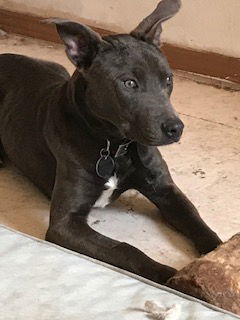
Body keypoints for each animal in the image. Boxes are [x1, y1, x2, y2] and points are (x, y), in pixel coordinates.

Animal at [0, 0, 221, 284]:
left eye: (168, 79)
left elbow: (198, 223)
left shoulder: (165, 190)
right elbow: (125, 249)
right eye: (129, 83)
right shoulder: (65, 223)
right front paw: (170, 277)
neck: (114, 146)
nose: (176, 128)